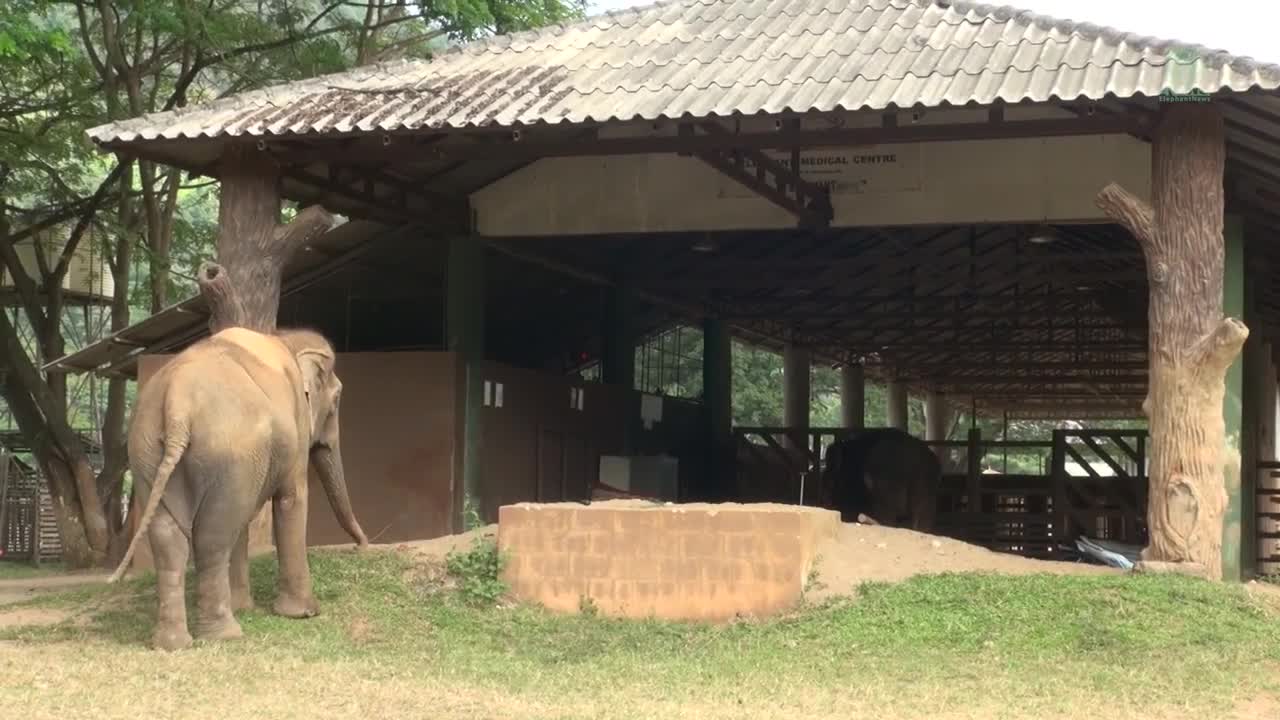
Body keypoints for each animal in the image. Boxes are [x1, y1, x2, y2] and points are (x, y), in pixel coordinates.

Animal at [106, 322, 368, 648]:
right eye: (336, 401)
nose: (361, 546)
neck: (287, 340)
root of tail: (177, 404)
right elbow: (292, 499)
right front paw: (304, 613)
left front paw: (245, 607)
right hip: (228, 451)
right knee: (212, 536)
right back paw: (225, 634)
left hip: (150, 452)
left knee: (170, 536)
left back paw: (173, 644)